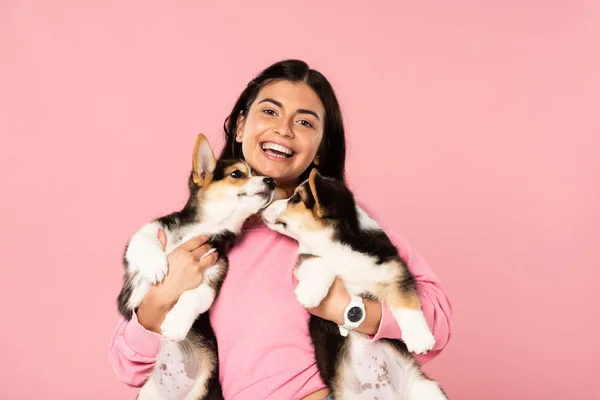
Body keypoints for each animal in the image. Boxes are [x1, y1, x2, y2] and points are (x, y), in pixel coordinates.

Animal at [116, 134, 278, 400]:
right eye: (237, 174)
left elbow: (192, 296)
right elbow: (145, 243)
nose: (271, 181)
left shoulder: (212, 275)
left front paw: (175, 324)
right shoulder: (147, 232)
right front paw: (154, 268)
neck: (204, 228)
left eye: (258, 174)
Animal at [260, 168, 448, 400]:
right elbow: (321, 262)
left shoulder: (395, 272)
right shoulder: (305, 258)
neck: (334, 242)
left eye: (296, 198)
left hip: (427, 389)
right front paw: (309, 294)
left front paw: (421, 339)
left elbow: (408, 304)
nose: (264, 206)